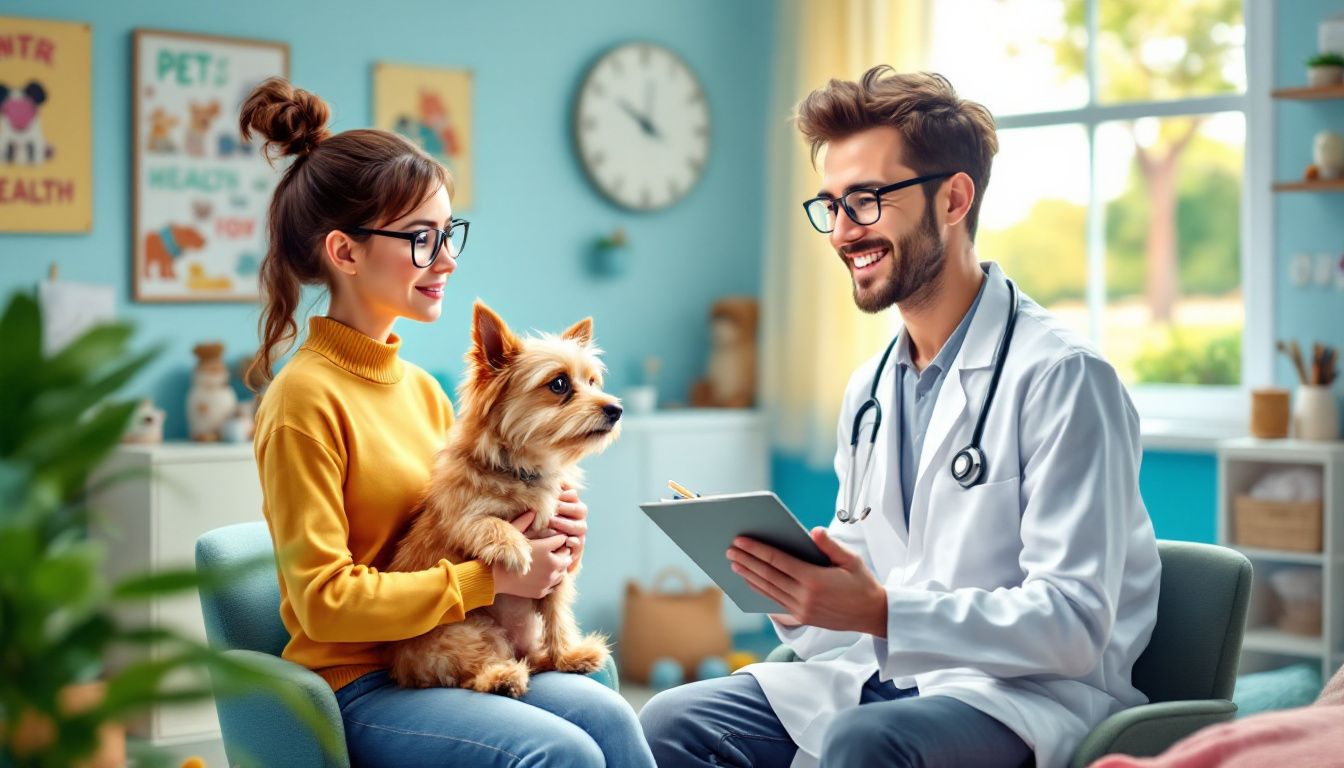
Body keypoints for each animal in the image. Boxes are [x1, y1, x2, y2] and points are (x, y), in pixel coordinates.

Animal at [387, 299, 620, 699]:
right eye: (559, 384)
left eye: (592, 382)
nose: (615, 409)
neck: (525, 470)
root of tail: (399, 670)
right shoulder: (463, 513)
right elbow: (487, 521)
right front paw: (513, 547)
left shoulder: (559, 573)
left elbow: (558, 618)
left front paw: (568, 654)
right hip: (469, 631)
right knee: (474, 670)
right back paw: (501, 676)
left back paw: (551, 659)